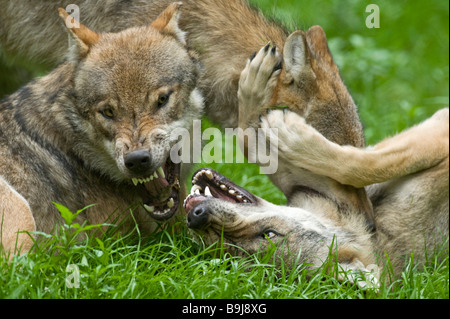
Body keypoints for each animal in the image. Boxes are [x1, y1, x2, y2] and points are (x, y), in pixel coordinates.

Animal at [184, 44, 450, 288]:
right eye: (223, 252)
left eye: (269, 234)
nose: (197, 216)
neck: (373, 228)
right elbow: (248, 138)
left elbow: (360, 165)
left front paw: (287, 128)